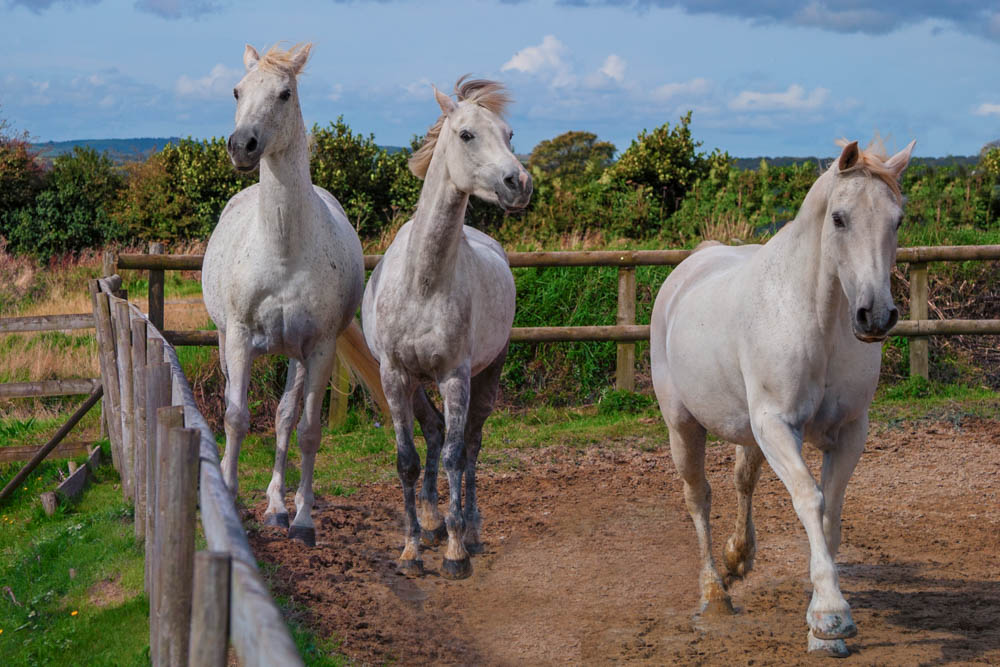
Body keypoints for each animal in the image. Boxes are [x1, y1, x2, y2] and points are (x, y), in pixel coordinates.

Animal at [201, 43, 366, 548]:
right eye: (237, 90)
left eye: (284, 93)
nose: (242, 146)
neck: (283, 251)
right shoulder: (238, 338)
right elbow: (235, 417)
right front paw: (229, 500)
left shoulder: (319, 349)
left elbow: (306, 431)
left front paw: (302, 519)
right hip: (226, 342)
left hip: (295, 354)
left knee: (284, 418)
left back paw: (276, 506)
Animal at [362, 77, 532, 580]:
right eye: (466, 135)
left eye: (509, 134)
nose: (519, 184)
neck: (424, 282)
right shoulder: (394, 376)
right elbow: (407, 460)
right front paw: (412, 549)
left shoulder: (455, 377)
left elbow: (457, 454)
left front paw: (456, 552)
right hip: (417, 382)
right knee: (435, 432)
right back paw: (434, 523)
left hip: (488, 372)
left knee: (471, 444)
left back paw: (468, 530)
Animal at [648, 137, 916, 656]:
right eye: (839, 218)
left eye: (897, 220)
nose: (875, 316)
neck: (816, 318)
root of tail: (692, 266)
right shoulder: (777, 426)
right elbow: (809, 499)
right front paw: (831, 617)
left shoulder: (849, 431)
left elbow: (831, 510)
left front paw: (822, 623)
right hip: (683, 426)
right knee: (698, 497)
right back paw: (714, 593)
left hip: (748, 432)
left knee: (742, 482)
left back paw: (738, 558)